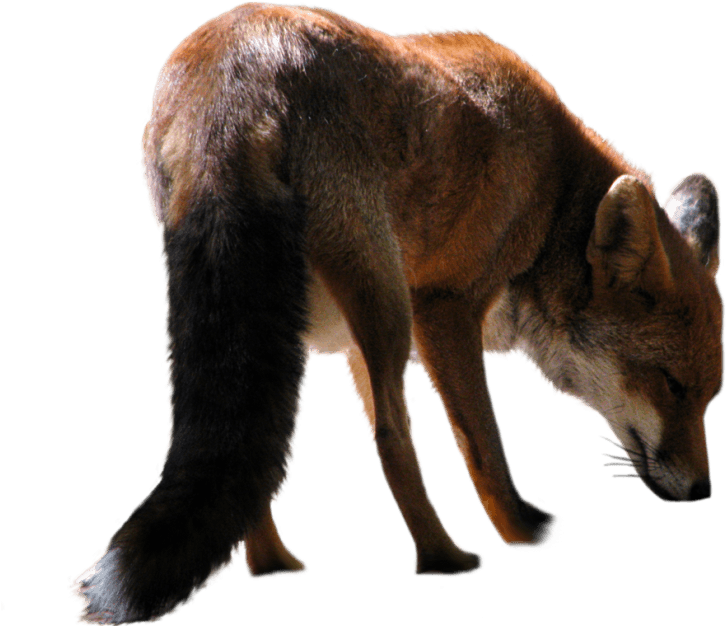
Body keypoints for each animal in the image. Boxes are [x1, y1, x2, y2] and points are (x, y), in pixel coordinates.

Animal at [72, 3, 723, 624]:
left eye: (708, 397)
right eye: (671, 386)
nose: (701, 491)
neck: (551, 193)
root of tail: (231, 75)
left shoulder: (355, 345)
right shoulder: (445, 306)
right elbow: (484, 445)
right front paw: (520, 531)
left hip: (307, 322)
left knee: (261, 447)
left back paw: (273, 565)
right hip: (387, 299)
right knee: (391, 434)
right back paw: (444, 559)